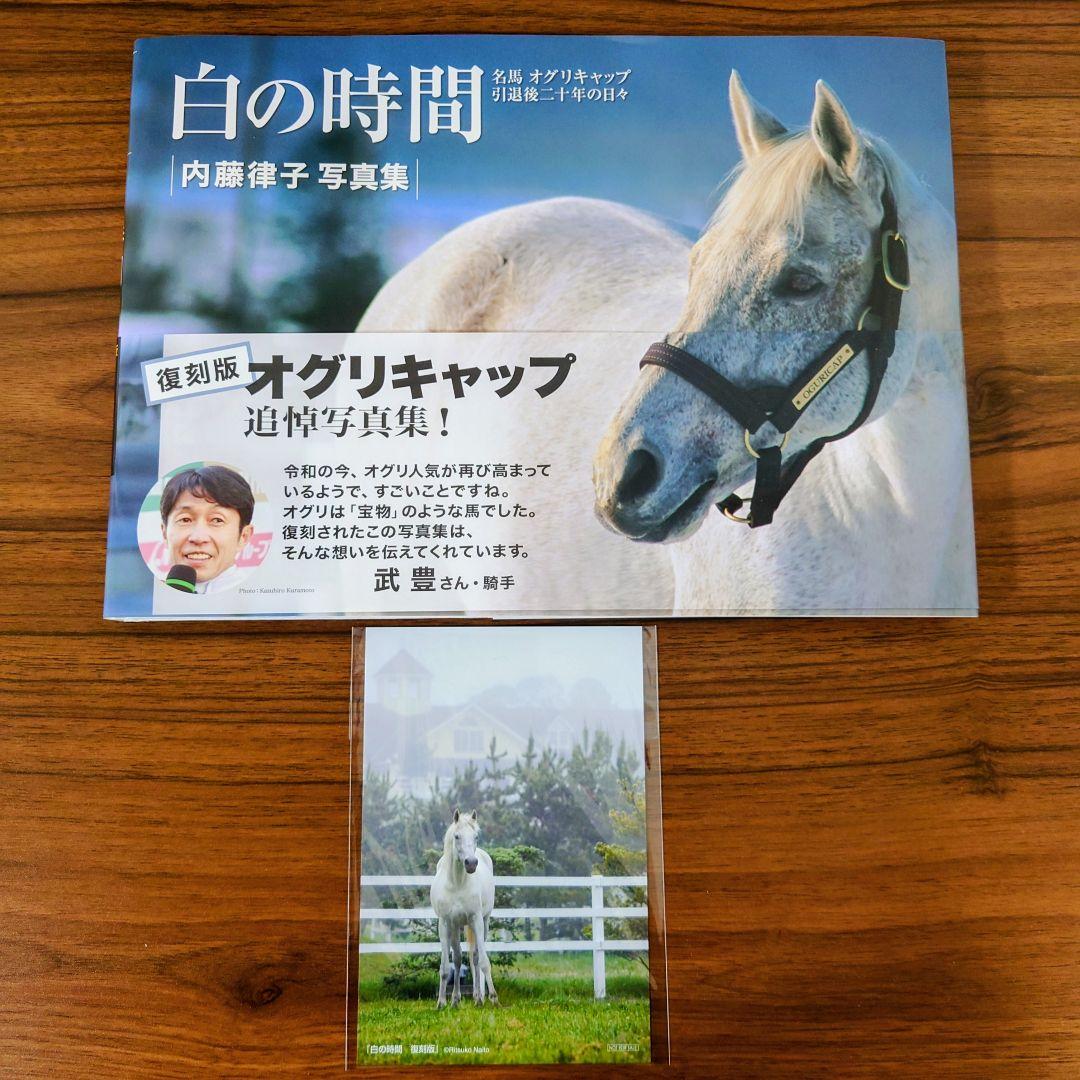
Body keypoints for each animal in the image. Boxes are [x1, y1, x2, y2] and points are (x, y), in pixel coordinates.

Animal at [430, 809, 498, 1008]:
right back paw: (455, 999)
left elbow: (483, 961)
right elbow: (446, 967)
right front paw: (441, 1002)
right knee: (459, 959)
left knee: (474, 958)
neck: (457, 884)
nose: (471, 863)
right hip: (455, 927)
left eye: (476, 836)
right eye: (457, 836)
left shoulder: (476, 919)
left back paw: (478, 998)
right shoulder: (445, 924)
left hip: (483, 921)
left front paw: (493, 998)